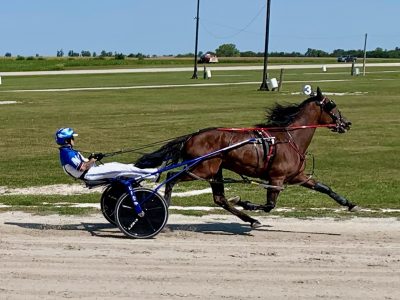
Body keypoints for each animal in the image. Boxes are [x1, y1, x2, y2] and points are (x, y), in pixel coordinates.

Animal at [135, 86, 356, 227]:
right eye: (332, 104)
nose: (346, 123)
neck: (290, 138)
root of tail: (191, 136)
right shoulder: (277, 178)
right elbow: (269, 205)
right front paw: (245, 202)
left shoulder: (297, 176)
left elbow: (324, 188)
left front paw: (349, 203)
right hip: (202, 168)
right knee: (171, 179)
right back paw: (164, 207)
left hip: (216, 170)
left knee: (220, 199)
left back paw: (250, 219)